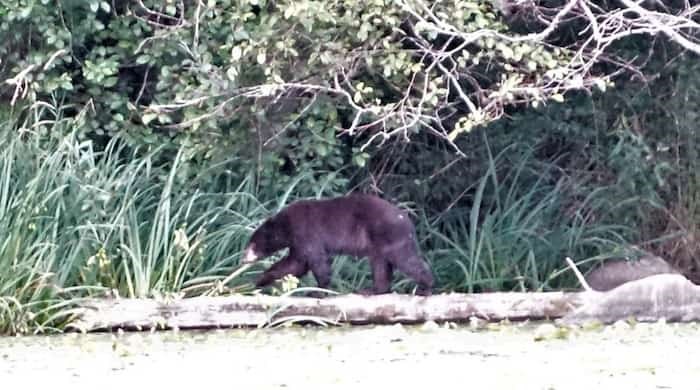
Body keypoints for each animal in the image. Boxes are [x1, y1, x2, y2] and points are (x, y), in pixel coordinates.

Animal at [243, 195, 434, 296]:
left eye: (252, 244)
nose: (243, 259)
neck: (286, 226)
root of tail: (407, 220)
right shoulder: (298, 243)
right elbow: (294, 264)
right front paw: (259, 280)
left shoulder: (306, 232)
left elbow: (316, 261)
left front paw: (317, 290)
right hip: (378, 244)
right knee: (380, 265)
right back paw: (372, 290)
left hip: (389, 236)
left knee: (406, 260)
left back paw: (425, 287)